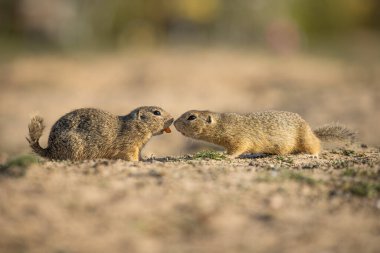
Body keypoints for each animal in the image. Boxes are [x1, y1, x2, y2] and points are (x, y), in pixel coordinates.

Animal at [27, 106, 174, 161]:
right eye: (156, 112)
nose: (172, 119)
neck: (136, 126)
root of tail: (49, 150)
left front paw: (144, 160)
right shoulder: (129, 146)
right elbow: (131, 156)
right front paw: (137, 162)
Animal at [175, 109, 356, 157]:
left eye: (192, 117)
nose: (175, 123)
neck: (223, 124)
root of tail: (312, 130)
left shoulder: (239, 138)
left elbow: (238, 149)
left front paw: (227, 156)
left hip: (306, 138)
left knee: (316, 145)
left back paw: (313, 154)